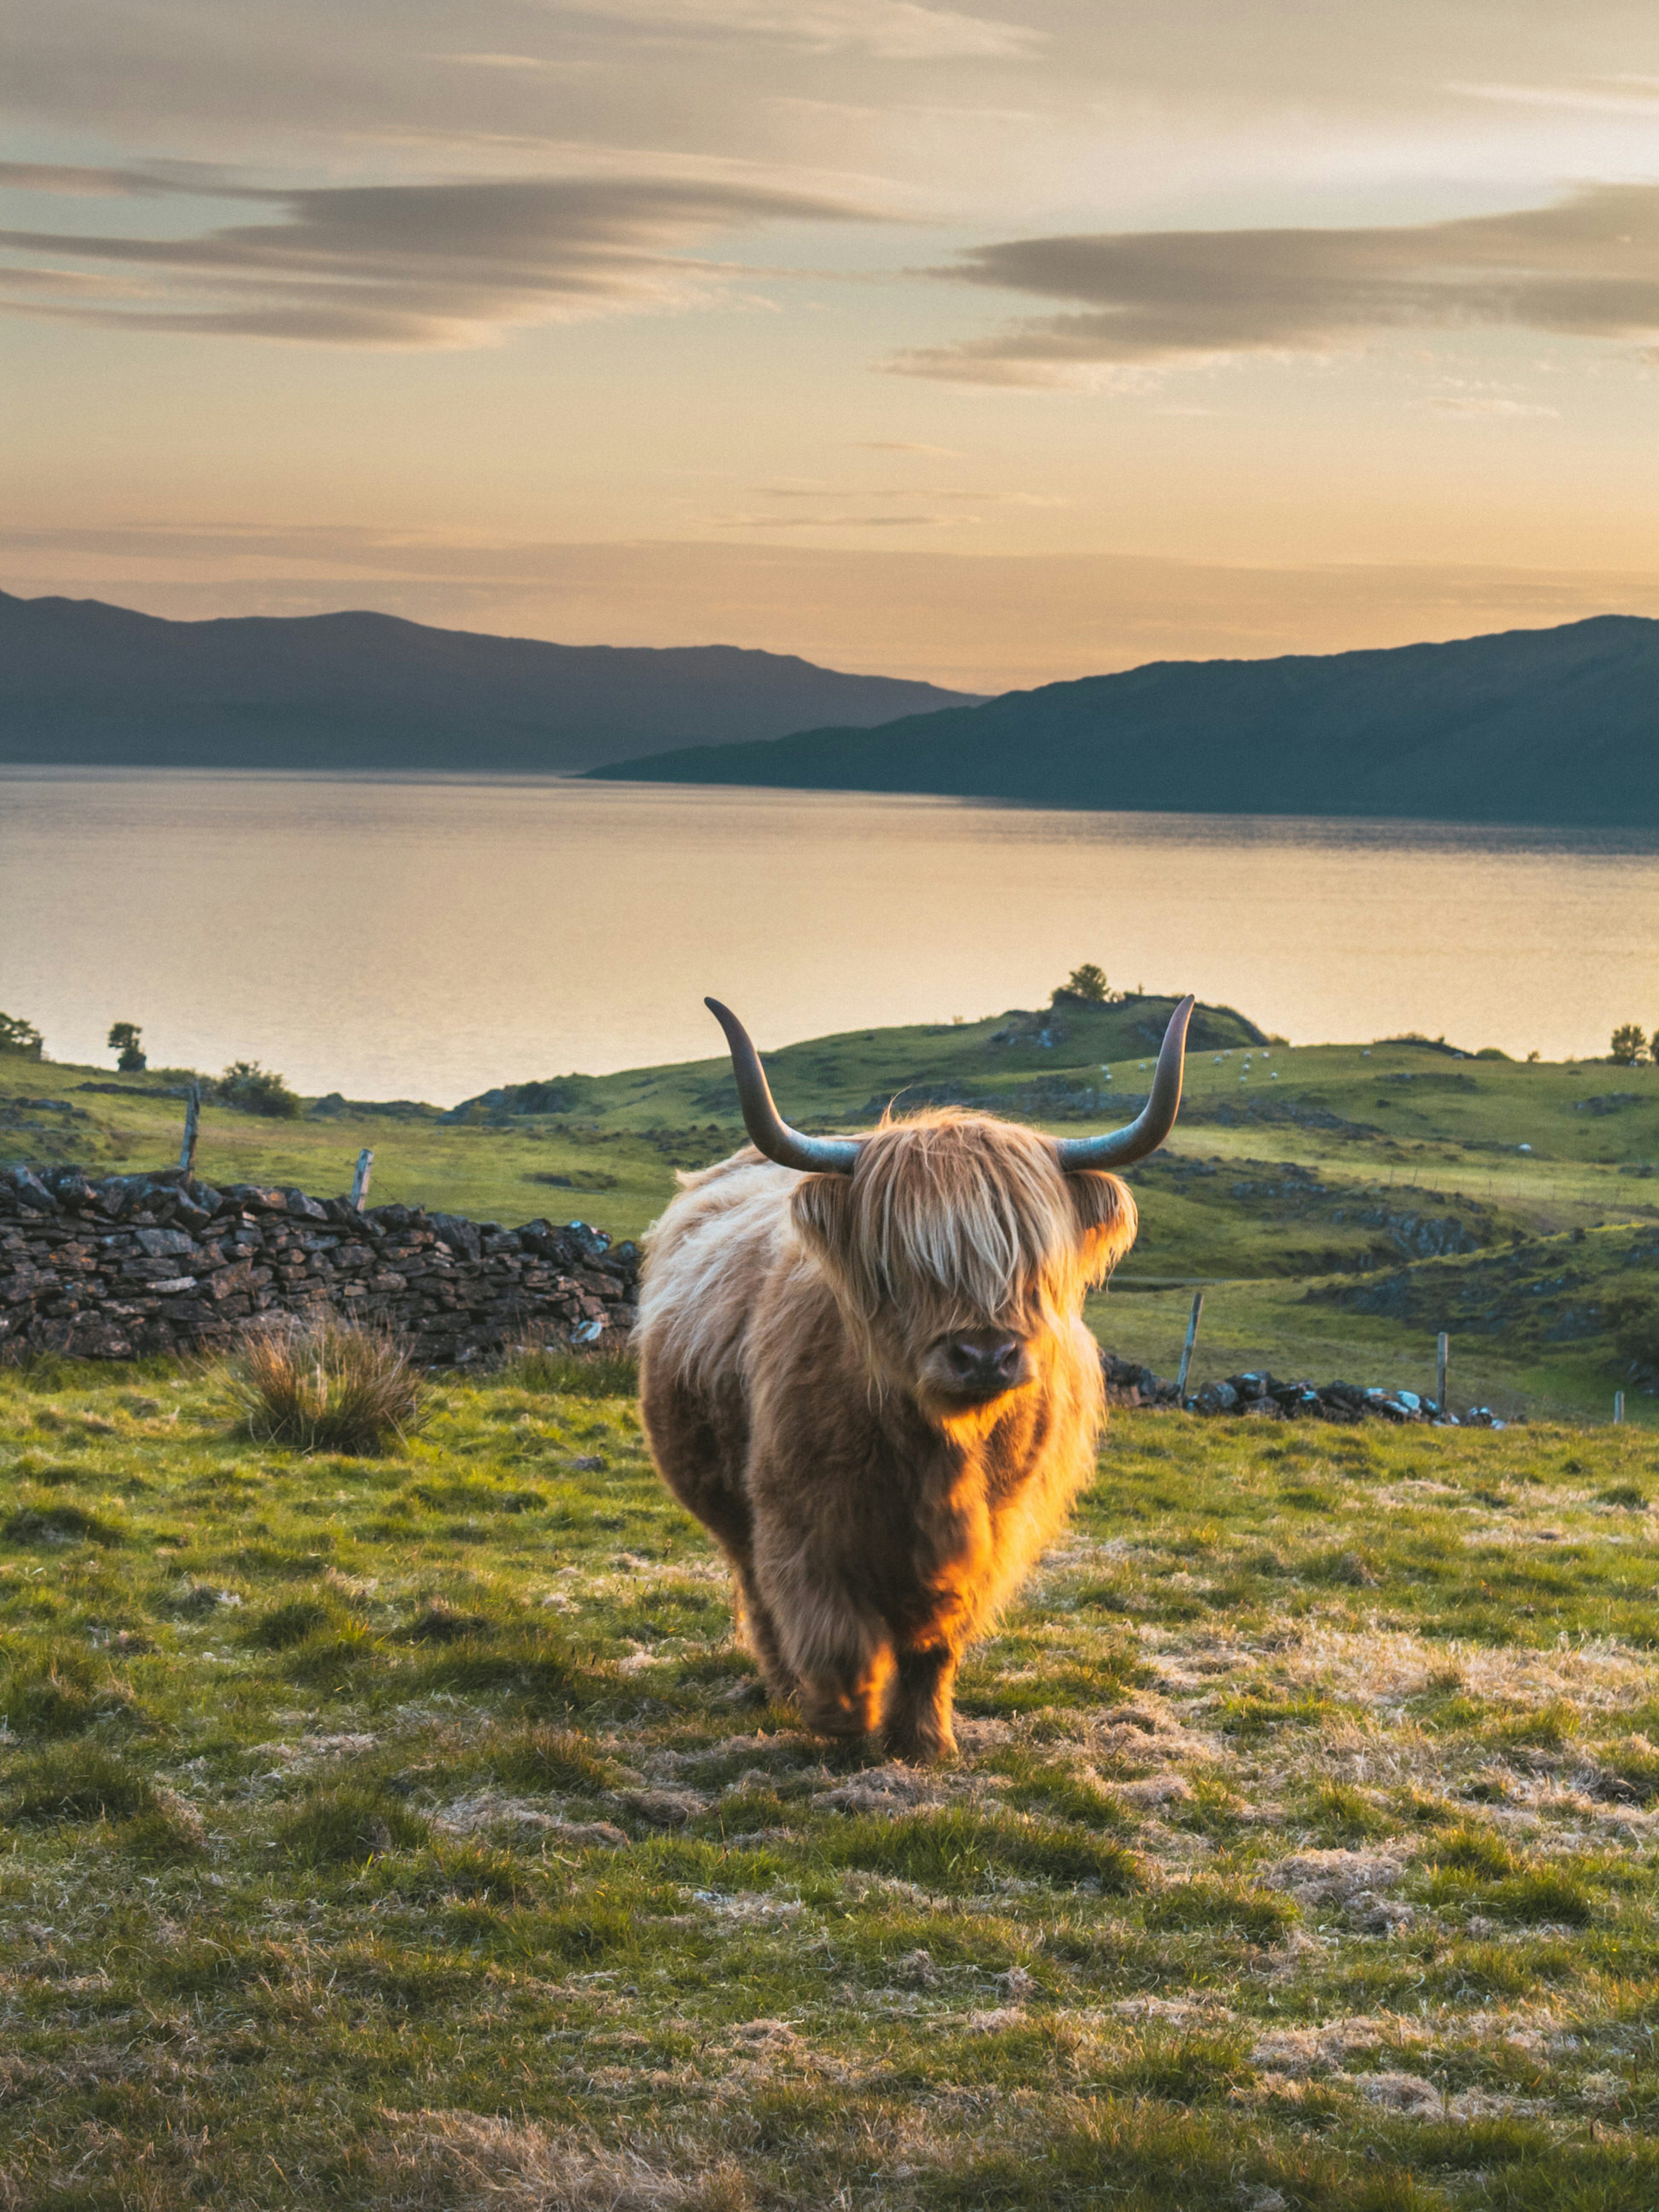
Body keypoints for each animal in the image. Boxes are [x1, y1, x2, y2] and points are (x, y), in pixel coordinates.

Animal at [637, 1000, 1194, 1761]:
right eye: (904, 1264)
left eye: (1030, 1261)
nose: (984, 1355)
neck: (936, 1447)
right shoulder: (800, 1520)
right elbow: (832, 1635)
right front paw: (846, 1720)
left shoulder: (988, 1533)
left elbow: (936, 1640)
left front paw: (925, 1739)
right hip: (730, 1507)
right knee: (759, 1596)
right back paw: (786, 1691)